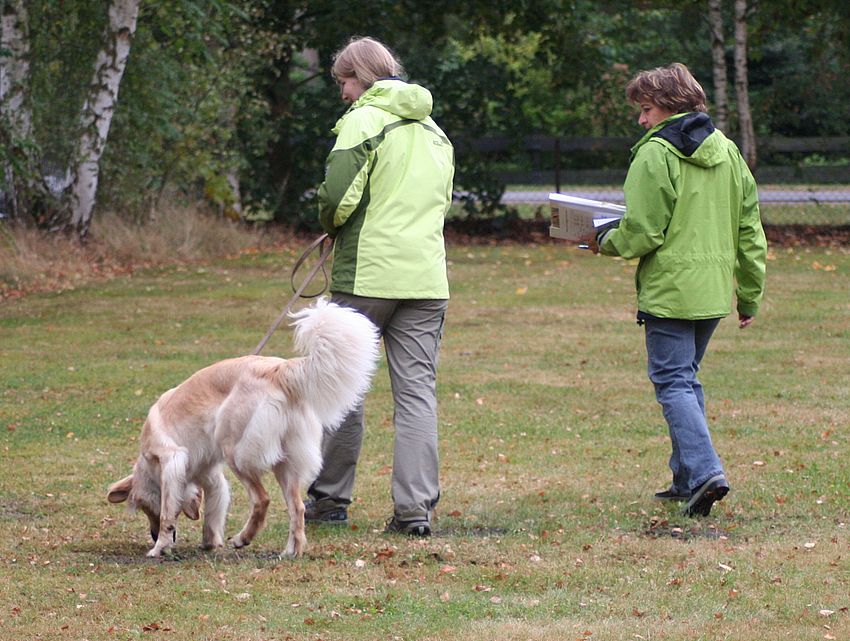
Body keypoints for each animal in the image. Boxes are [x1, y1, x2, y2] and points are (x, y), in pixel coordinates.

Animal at [107, 298, 380, 558]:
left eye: (146, 509)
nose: (152, 535)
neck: (149, 462)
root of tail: (279, 371)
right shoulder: (211, 476)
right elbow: (213, 513)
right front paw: (210, 542)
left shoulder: (172, 461)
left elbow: (168, 513)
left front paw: (159, 547)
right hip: (285, 461)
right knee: (297, 508)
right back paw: (291, 551)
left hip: (235, 452)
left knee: (262, 499)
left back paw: (243, 538)